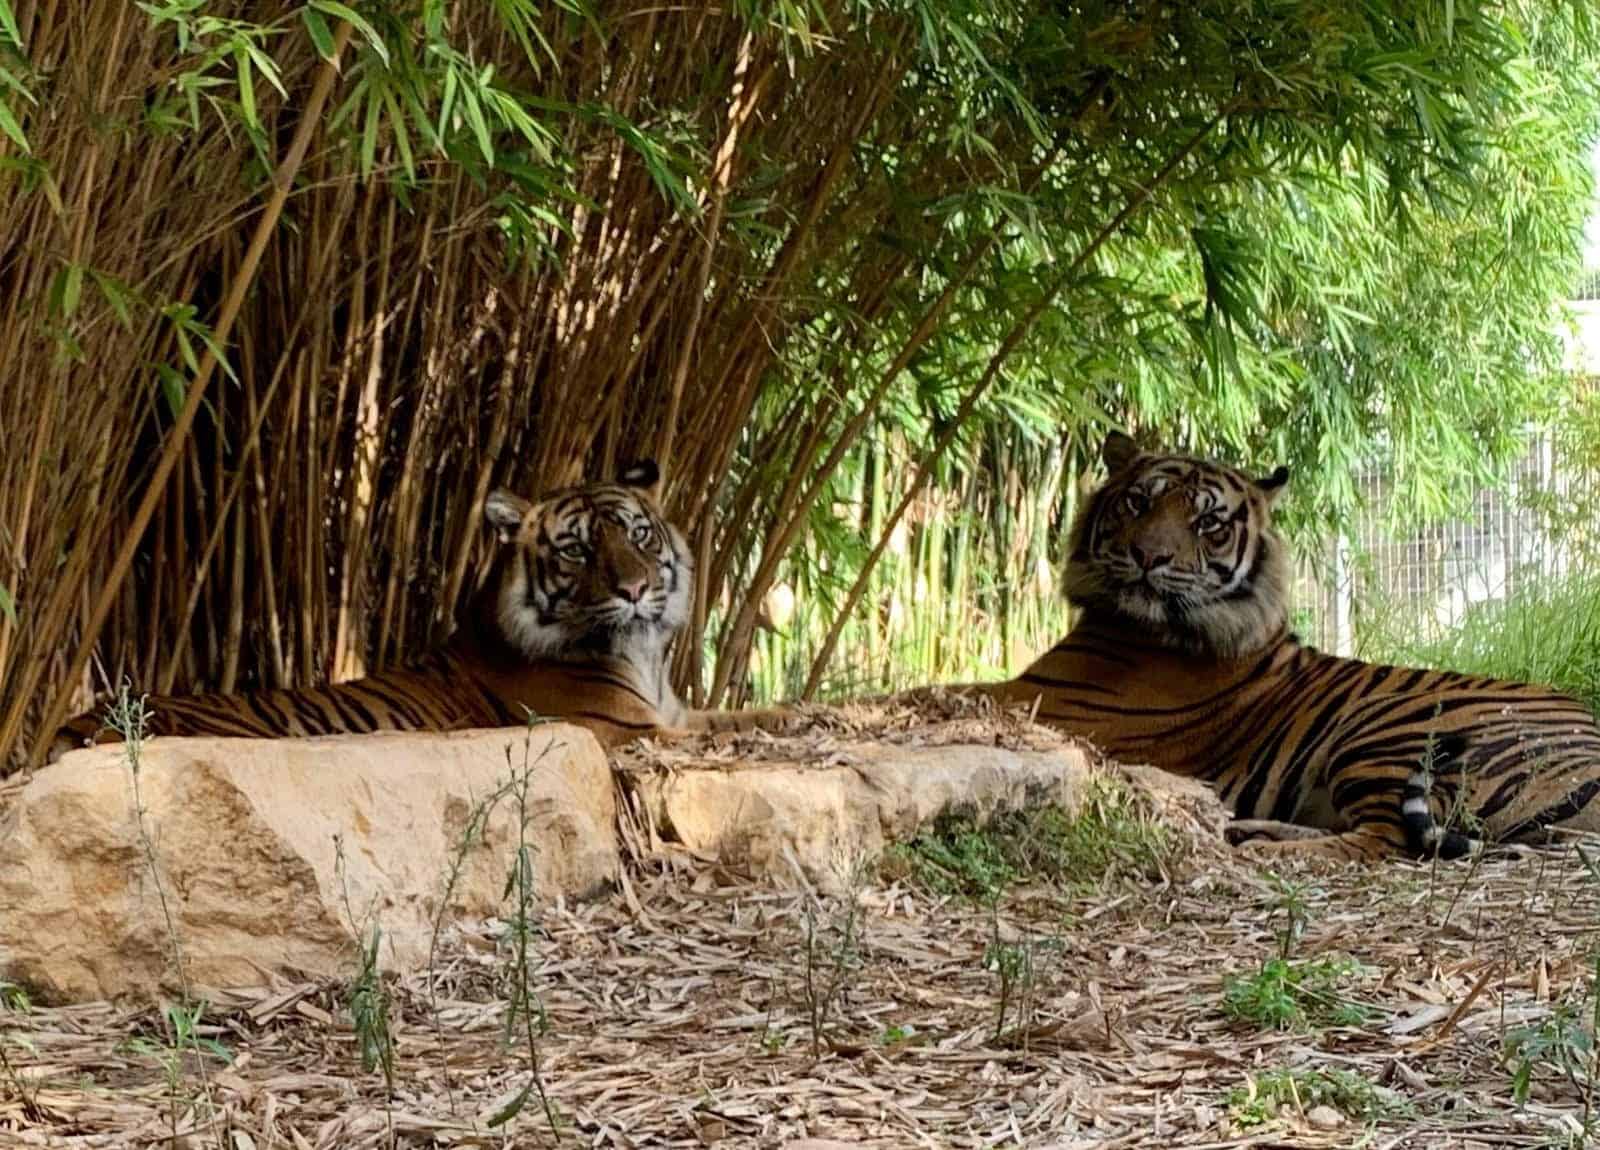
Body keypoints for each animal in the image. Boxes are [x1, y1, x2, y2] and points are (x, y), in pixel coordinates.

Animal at [48, 457, 774, 764]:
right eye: (576, 550)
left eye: (638, 535)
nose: (634, 590)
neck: (641, 656)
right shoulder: (629, 730)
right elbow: (729, 731)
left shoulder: (678, 712)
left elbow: (755, 713)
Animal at [966, 431, 1600, 863]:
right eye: (1137, 503)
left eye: (1209, 524)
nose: (1149, 557)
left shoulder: (1052, 698)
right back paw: (1246, 830)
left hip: (1385, 726)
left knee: (1383, 842)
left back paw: (1268, 849)